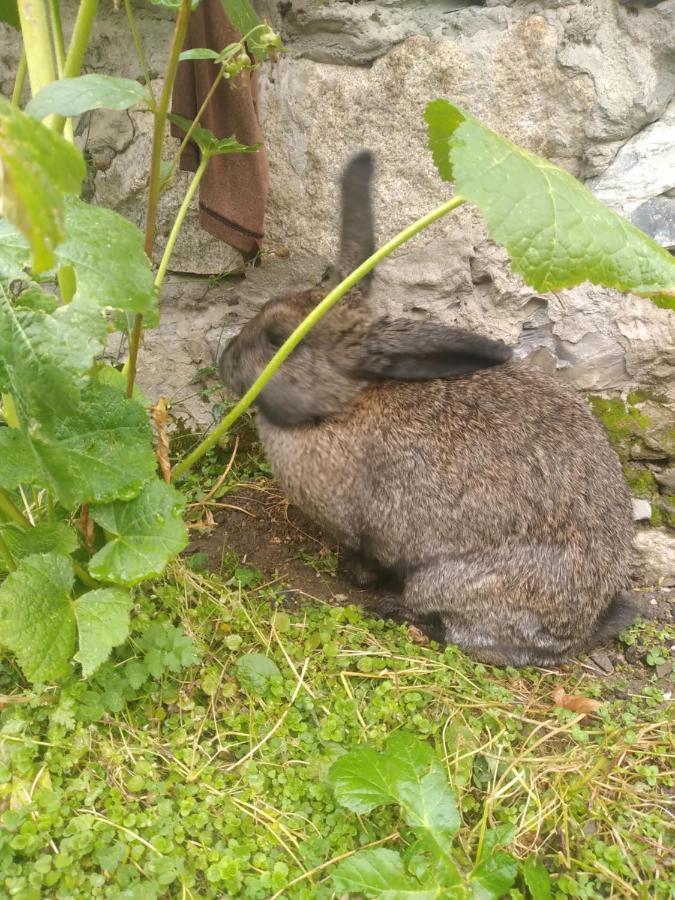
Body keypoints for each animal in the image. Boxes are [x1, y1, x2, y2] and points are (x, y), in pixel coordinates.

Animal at [219, 151, 636, 664]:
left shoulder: (371, 532)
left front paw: (353, 577)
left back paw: (397, 612)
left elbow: (368, 558)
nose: (224, 362)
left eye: (280, 340)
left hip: (447, 582)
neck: (346, 404)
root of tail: (576, 630)